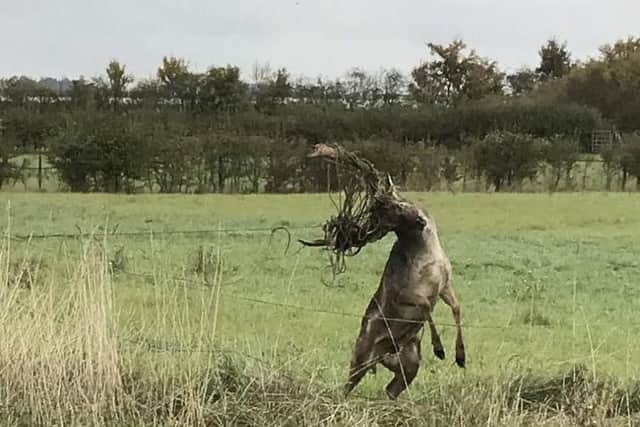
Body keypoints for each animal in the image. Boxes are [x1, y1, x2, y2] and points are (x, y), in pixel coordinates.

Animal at [306, 144, 466, 400]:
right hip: (360, 356)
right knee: (348, 385)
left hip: (409, 366)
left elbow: (457, 308)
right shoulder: (403, 292)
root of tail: (384, 357)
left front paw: (461, 357)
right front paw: (439, 349)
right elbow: (425, 307)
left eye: (399, 203)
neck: (428, 254)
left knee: (390, 389)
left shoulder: (444, 285)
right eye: (385, 213)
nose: (420, 221)